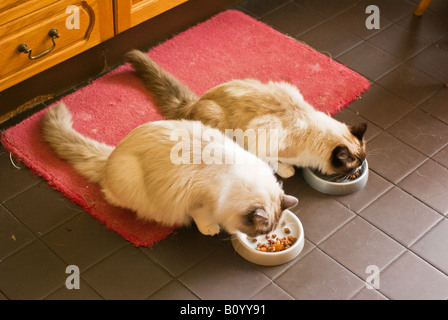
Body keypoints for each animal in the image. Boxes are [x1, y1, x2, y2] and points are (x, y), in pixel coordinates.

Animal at [42, 104, 300, 236]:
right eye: (259, 233)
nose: (257, 239)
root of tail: (112, 155)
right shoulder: (197, 201)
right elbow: (202, 216)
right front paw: (210, 228)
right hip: (130, 179)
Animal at [125, 50, 368, 180]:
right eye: (353, 164)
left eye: (362, 160)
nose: (358, 168)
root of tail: (196, 102)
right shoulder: (262, 136)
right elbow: (272, 161)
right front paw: (287, 170)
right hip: (219, 122)